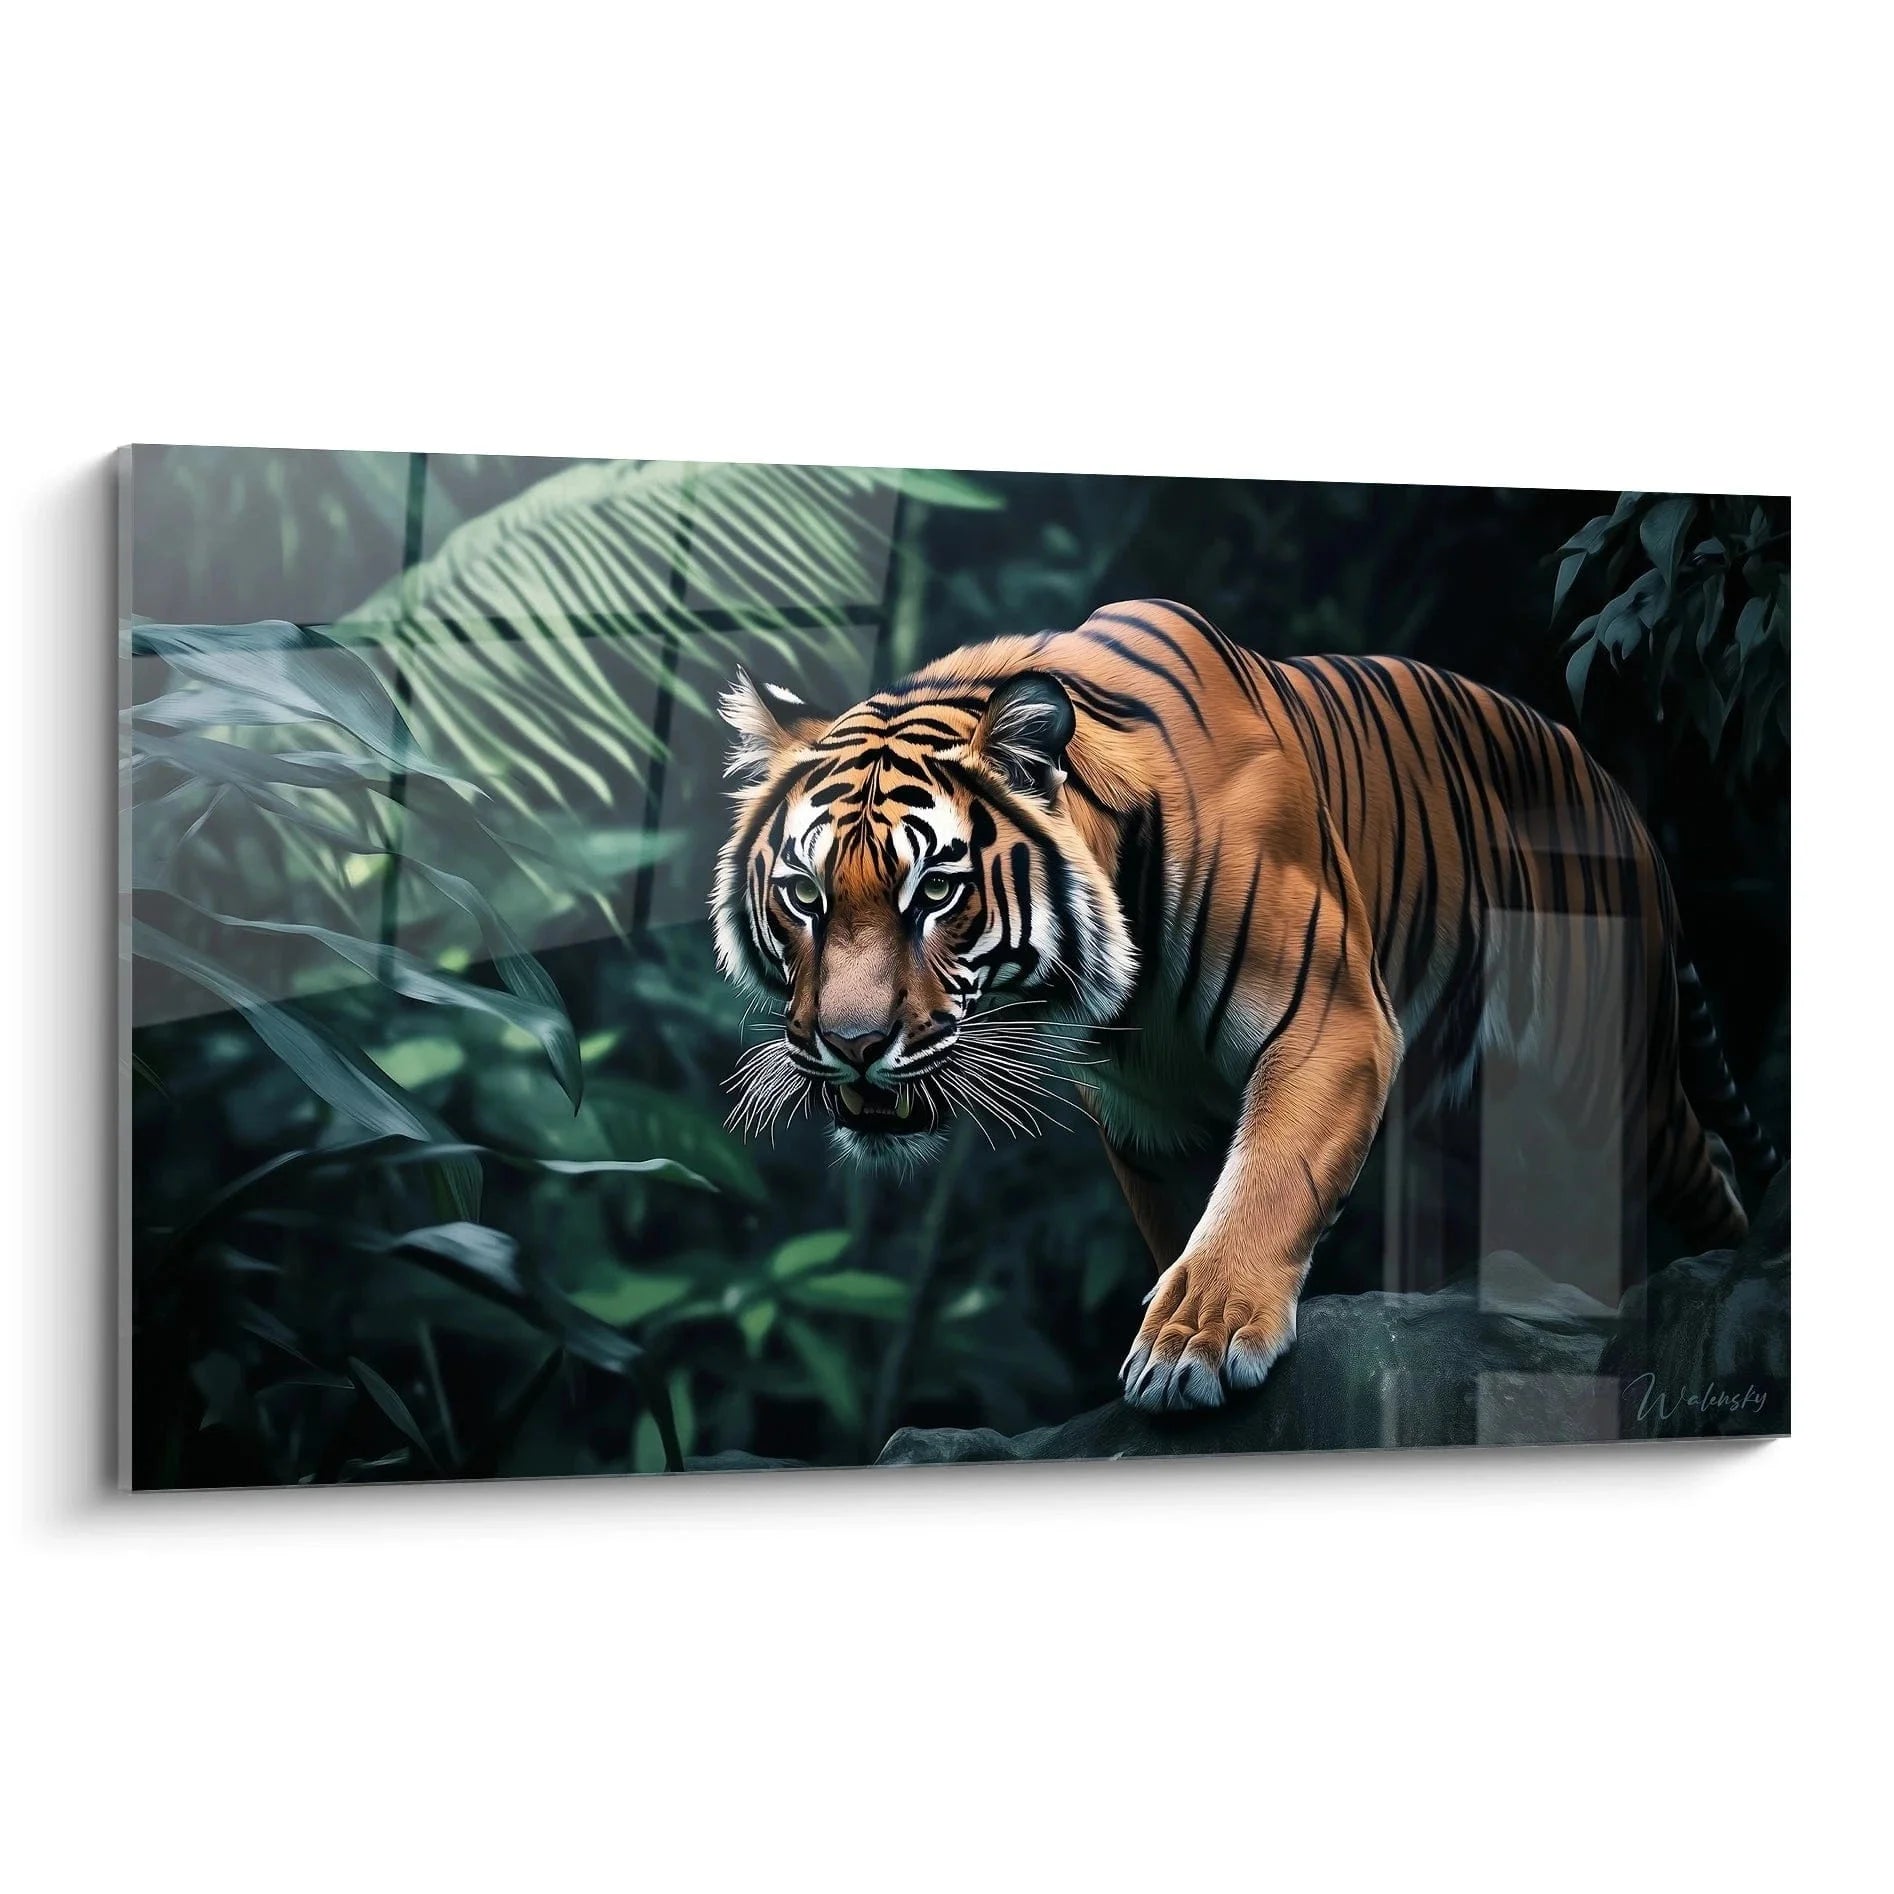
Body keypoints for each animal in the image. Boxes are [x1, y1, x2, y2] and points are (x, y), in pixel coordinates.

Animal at [711, 598, 1780, 1411]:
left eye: (933, 891)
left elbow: (1266, 1184)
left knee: (1708, 1167)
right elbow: (1191, 1218)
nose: (852, 1042)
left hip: (1606, 1083)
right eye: (804, 894)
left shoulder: (1334, 1019)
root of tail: (1613, 787)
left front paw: (1199, 1339)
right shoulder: (1147, 1115)